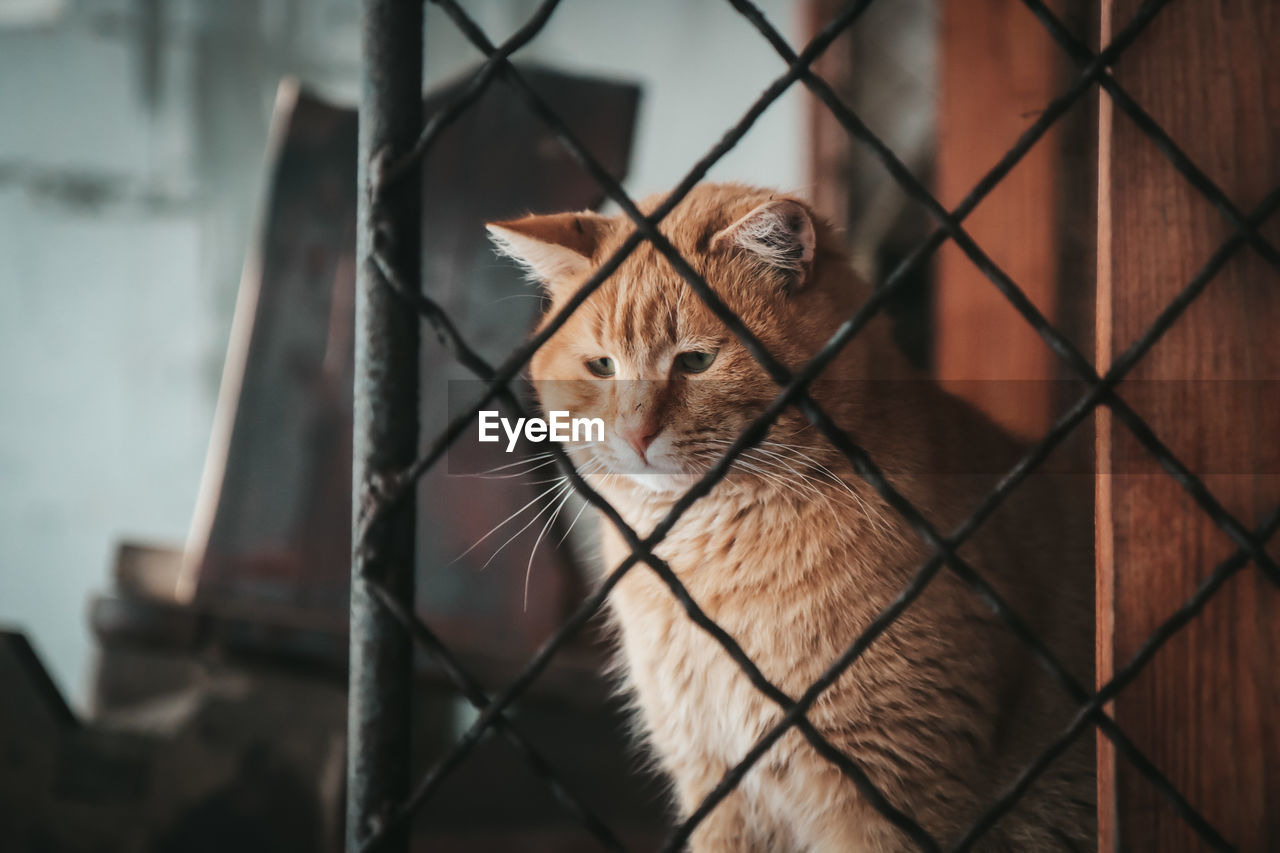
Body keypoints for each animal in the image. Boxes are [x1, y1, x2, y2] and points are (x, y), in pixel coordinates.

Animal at [486, 183, 1090, 845]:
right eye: (601, 367)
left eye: (696, 362)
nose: (635, 434)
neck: (706, 559)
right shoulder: (717, 788)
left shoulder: (893, 793)